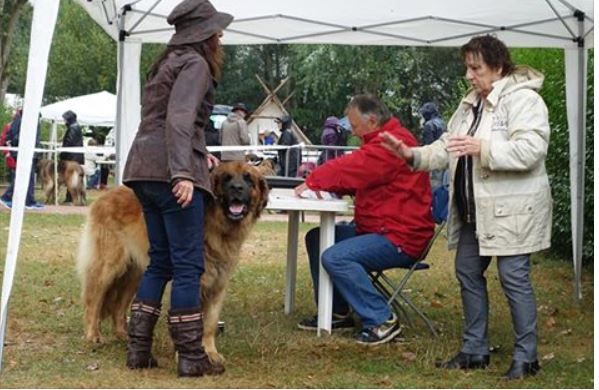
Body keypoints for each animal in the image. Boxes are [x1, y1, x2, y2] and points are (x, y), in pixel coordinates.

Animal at [77, 160, 270, 364]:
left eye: (249, 179)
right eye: (227, 179)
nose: (237, 188)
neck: (219, 227)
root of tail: (105, 197)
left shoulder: (218, 284)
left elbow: (210, 323)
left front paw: (211, 352)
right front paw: (187, 355)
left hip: (135, 273)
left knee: (119, 306)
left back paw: (124, 335)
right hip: (107, 267)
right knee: (93, 300)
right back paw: (93, 335)